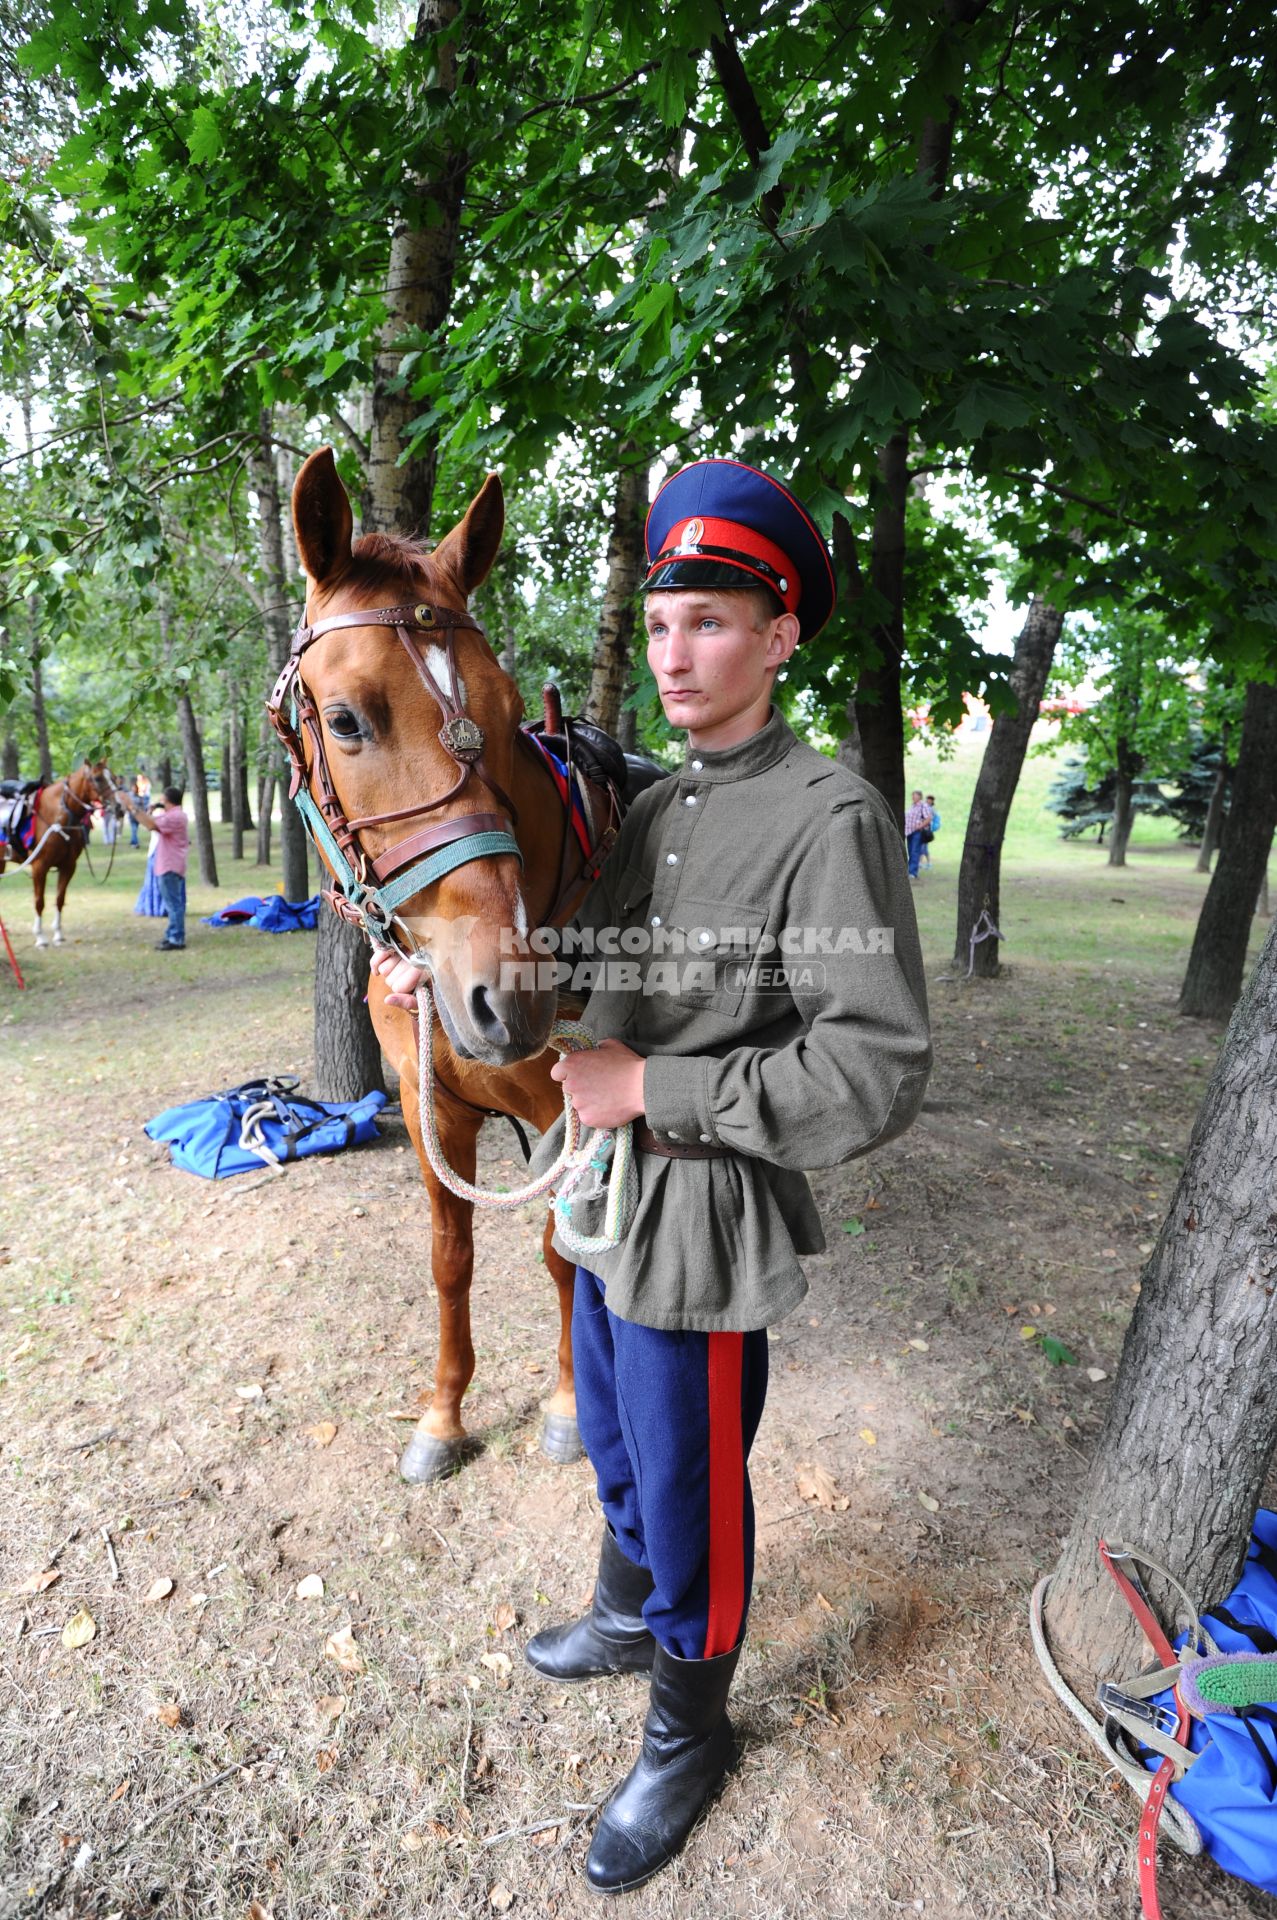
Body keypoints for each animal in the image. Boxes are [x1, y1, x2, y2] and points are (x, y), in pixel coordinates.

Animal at [0, 760, 114, 948]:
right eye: (97, 778)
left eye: (113, 776)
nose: (118, 804)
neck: (57, 817)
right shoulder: (39, 867)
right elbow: (39, 901)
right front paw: (40, 937)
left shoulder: (68, 866)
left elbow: (60, 899)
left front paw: (58, 934)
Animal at [274, 453, 622, 1482]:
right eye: (344, 719)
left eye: (507, 719)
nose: (507, 998)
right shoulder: (430, 1104)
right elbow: (449, 1259)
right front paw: (442, 1415)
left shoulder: (565, 1113)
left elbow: (559, 1252)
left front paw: (568, 1406)